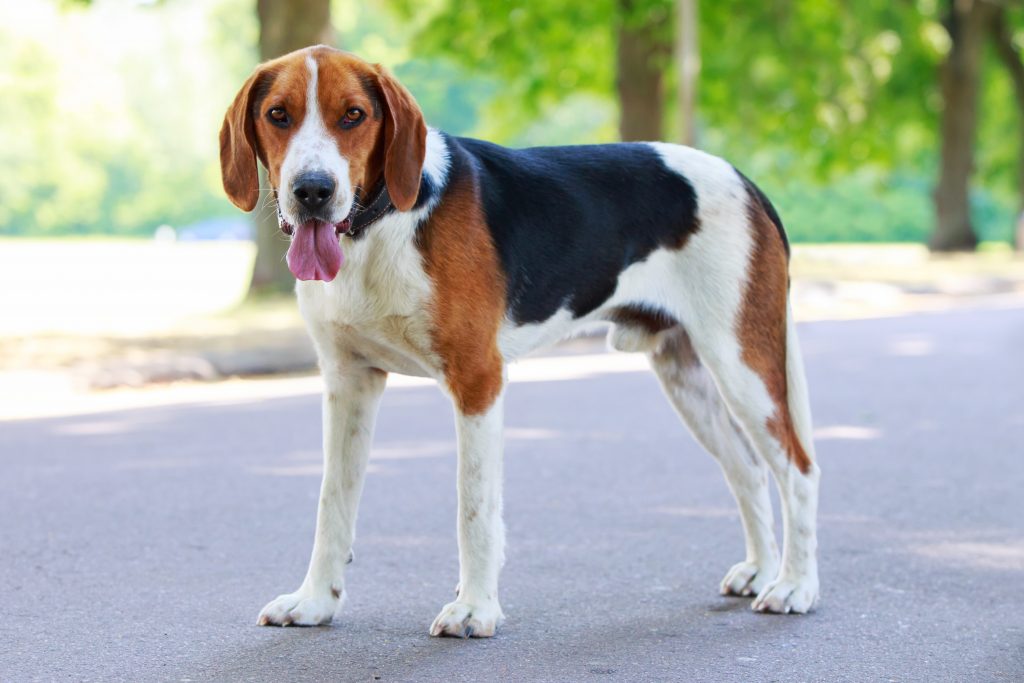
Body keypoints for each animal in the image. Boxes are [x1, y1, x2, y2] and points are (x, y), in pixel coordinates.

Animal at [220, 46, 819, 634]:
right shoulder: (349, 383)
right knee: (748, 468)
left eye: (353, 115)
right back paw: (760, 570)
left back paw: (795, 586)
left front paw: (475, 609)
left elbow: (474, 508)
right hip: (686, 375)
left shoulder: (477, 379)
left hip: (743, 365)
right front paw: (315, 601)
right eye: (278, 115)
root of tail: (744, 180)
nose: (312, 191)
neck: (379, 227)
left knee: (799, 469)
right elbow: (332, 505)